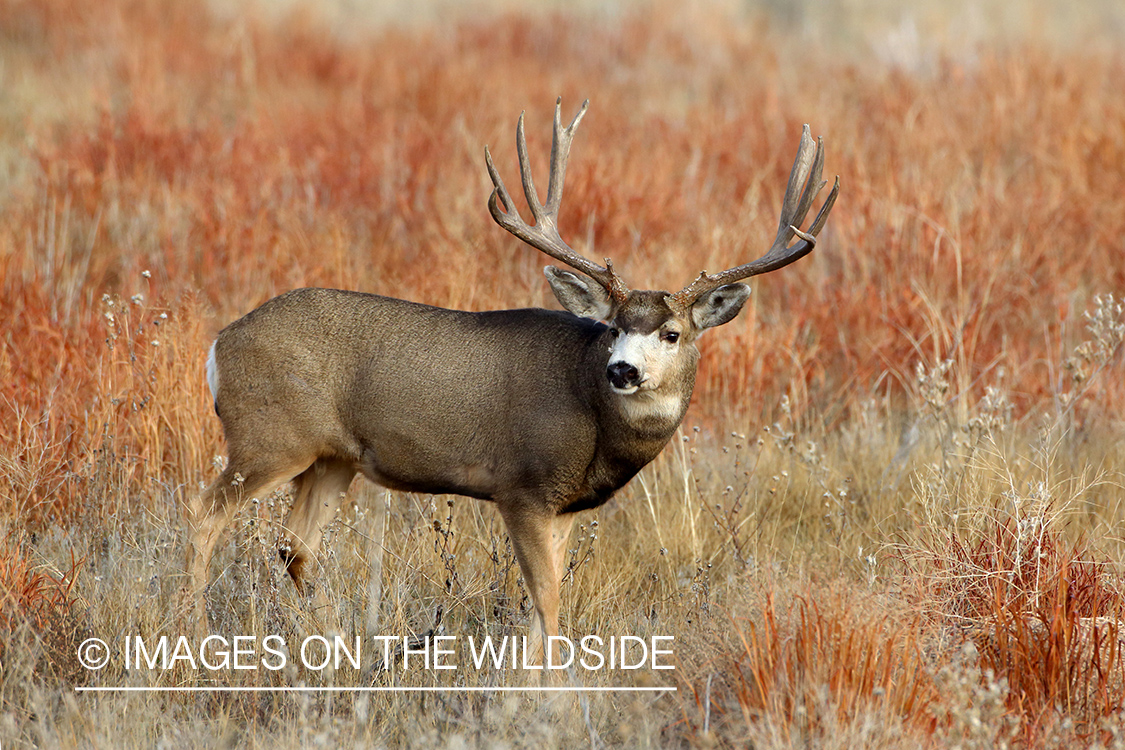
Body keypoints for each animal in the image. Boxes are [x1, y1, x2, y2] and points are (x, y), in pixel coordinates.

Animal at [184, 99, 838, 660]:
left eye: (672, 334)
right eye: (614, 325)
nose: (623, 369)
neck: (591, 411)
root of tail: (220, 344)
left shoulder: (566, 506)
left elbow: (543, 605)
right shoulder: (522, 486)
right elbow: (546, 604)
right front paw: (550, 694)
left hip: (332, 459)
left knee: (295, 546)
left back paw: (339, 647)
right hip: (269, 437)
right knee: (205, 512)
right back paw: (193, 631)